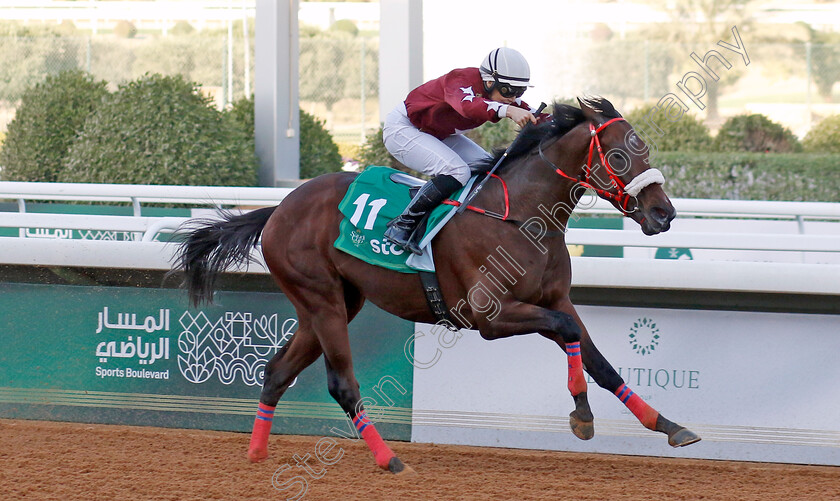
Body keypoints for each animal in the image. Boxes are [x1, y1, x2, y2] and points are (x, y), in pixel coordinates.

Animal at [176, 96, 704, 472]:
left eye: (646, 148)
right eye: (618, 154)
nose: (664, 214)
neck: (522, 216)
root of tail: (278, 209)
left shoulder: (556, 299)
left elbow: (599, 360)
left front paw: (667, 424)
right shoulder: (489, 314)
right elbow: (568, 332)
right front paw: (582, 416)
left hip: (329, 304)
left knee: (276, 371)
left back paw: (257, 453)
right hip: (322, 301)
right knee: (342, 384)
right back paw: (390, 460)